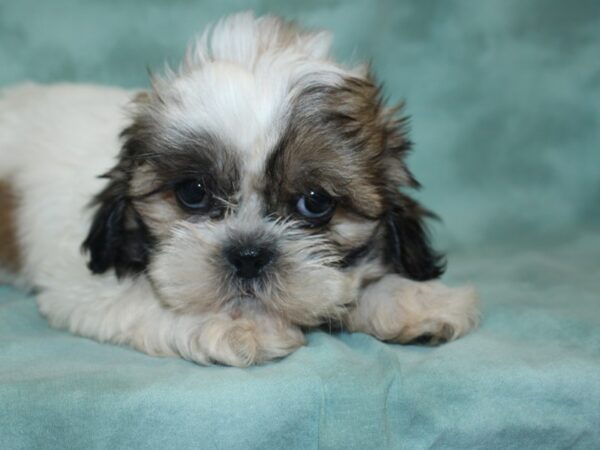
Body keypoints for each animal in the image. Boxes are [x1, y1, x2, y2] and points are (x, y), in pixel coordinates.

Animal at [0, 13, 478, 366]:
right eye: (193, 192)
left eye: (316, 202)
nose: (249, 254)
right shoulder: (81, 282)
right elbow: (145, 298)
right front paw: (239, 324)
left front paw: (413, 299)